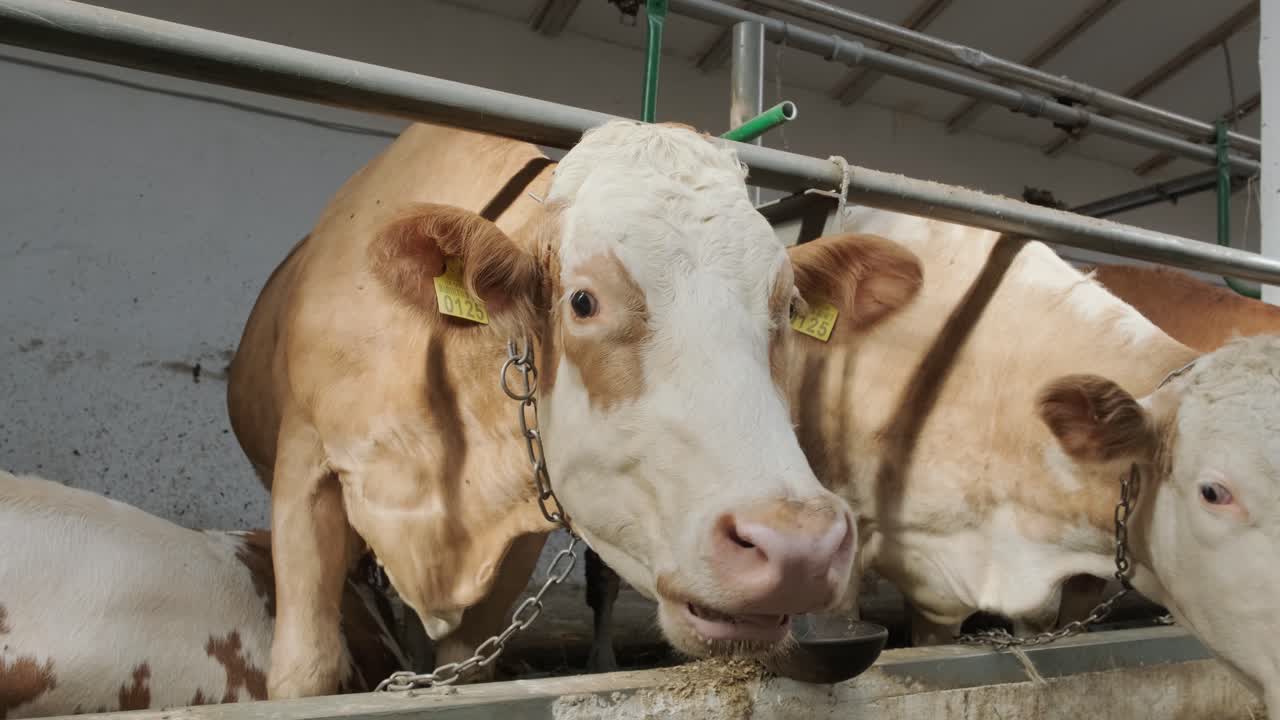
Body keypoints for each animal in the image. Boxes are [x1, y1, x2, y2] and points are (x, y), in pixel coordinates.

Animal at [225, 120, 926, 698]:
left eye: (787, 305)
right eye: (582, 302)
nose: (797, 546)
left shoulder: (510, 546)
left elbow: (465, 668)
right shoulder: (303, 471)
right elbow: (306, 669)